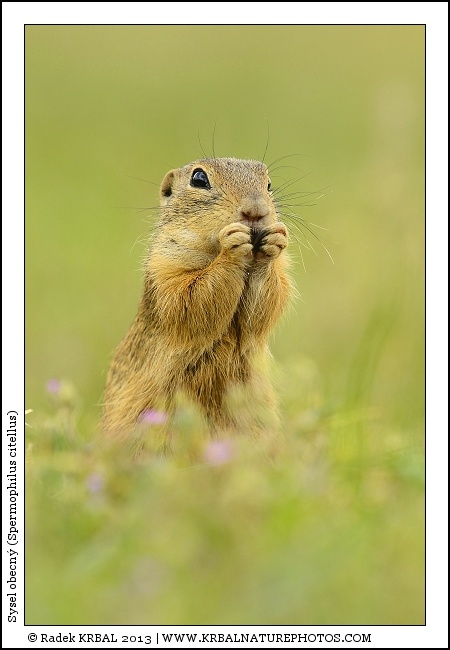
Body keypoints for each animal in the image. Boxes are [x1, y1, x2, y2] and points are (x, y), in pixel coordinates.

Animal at [101, 157, 291, 454]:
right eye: (199, 179)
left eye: (268, 183)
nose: (256, 211)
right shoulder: (165, 270)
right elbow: (191, 298)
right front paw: (232, 246)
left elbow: (268, 302)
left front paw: (275, 241)